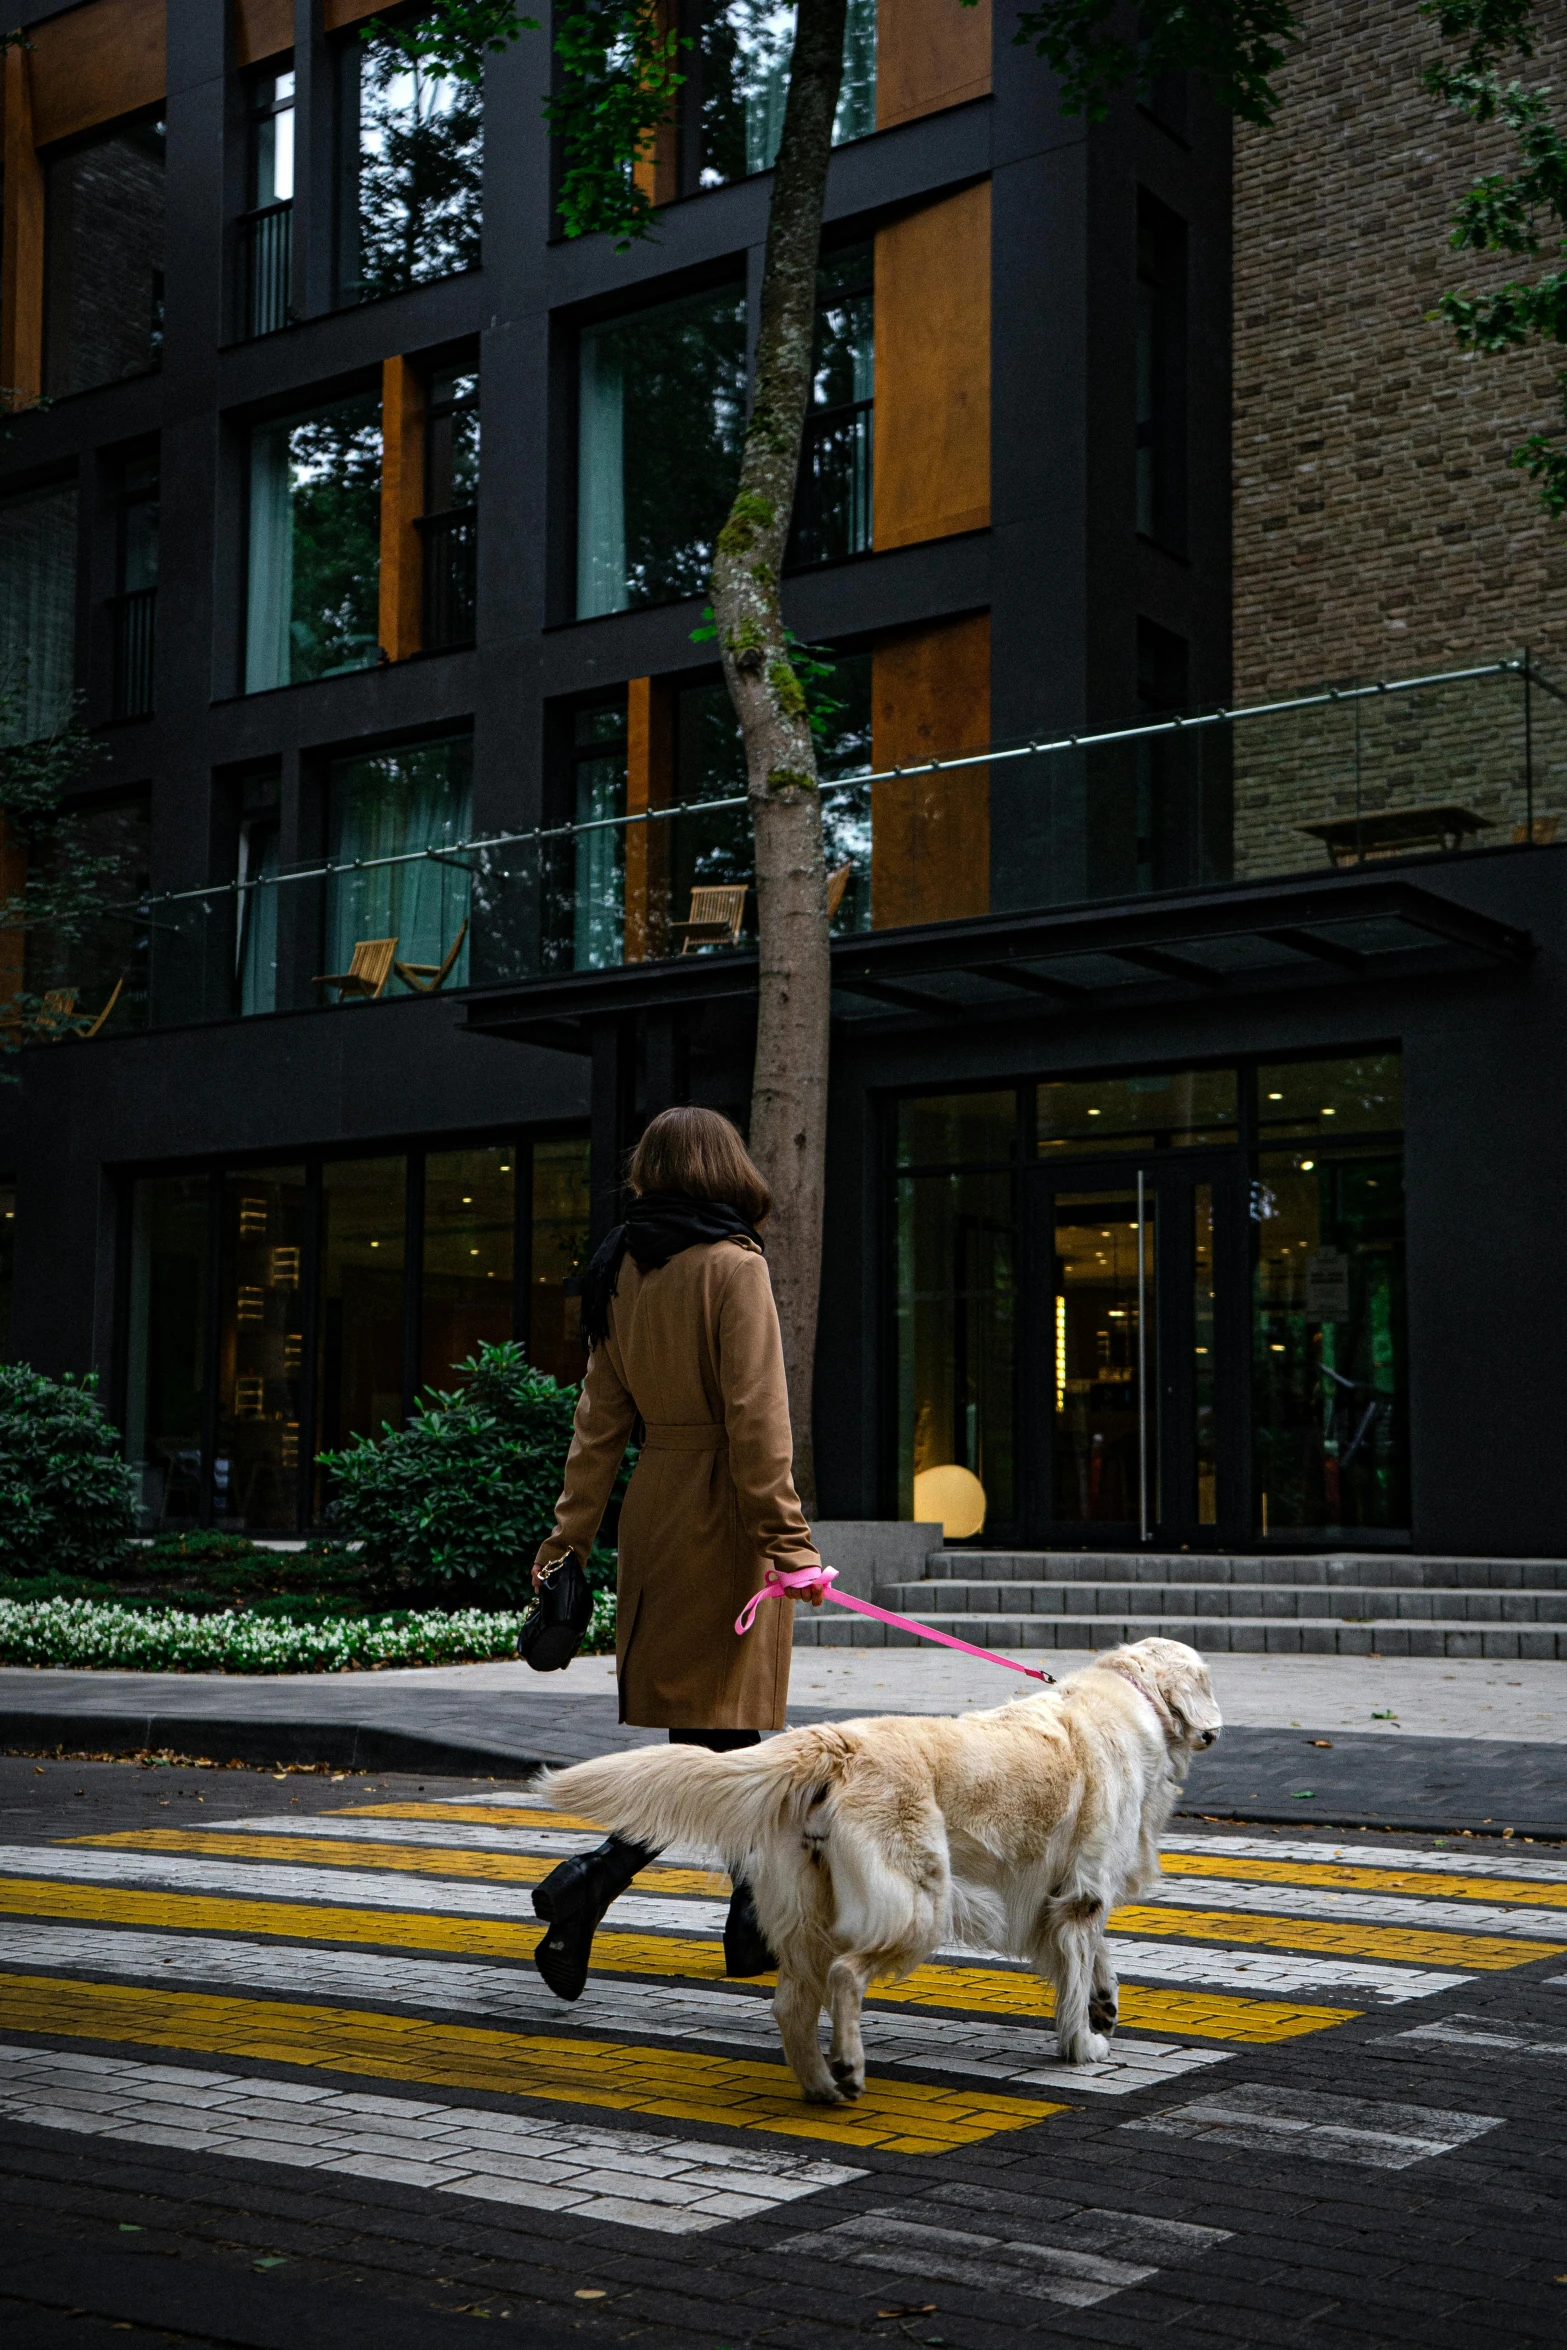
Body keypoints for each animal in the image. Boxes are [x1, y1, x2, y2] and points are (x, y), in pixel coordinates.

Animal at [540, 1635, 1221, 2115]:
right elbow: (1079, 1969)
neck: (1131, 1698)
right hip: (917, 1905)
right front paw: (1082, 2045)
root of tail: (834, 1744)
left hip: (810, 1913)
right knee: (845, 1975)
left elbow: (1094, 1957)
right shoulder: (1080, 1892)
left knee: (791, 2004)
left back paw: (820, 2085)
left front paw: (1104, 2005)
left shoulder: (1067, 1897)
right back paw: (847, 2066)